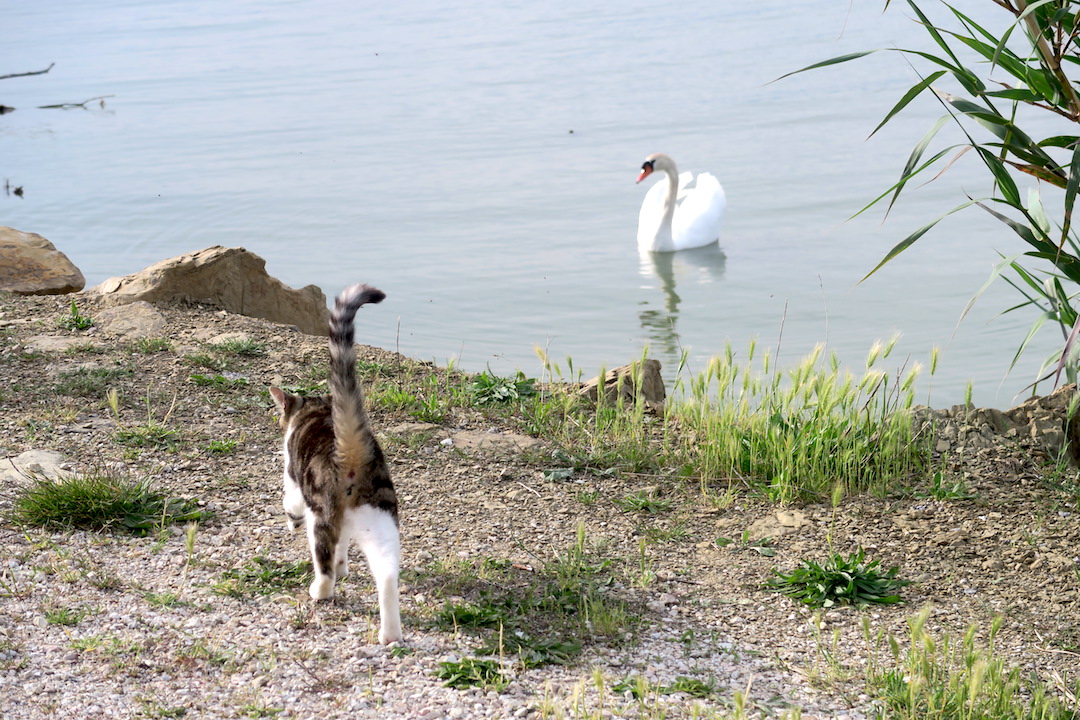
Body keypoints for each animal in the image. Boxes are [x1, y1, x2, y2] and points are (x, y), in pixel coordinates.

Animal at [267, 282, 403, 647]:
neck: (317, 411)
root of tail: (350, 450)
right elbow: (344, 548)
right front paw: (345, 565)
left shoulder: (292, 479)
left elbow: (289, 502)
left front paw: (290, 521)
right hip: (379, 518)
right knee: (387, 574)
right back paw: (390, 633)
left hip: (322, 515)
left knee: (324, 561)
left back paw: (320, 591)